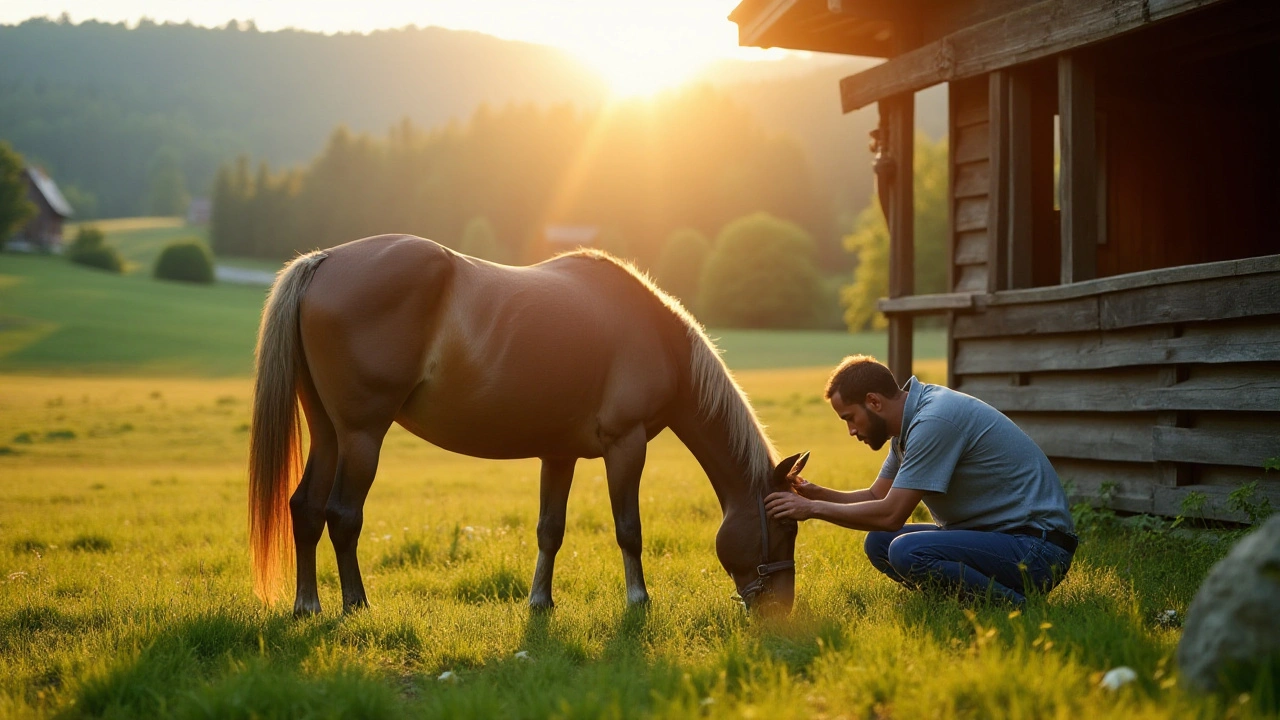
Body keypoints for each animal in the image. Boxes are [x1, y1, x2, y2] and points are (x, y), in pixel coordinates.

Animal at [248, 233, 803, 614]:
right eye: (783, 527)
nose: (780, 608)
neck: (656, 335)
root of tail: (324, 261)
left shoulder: (559, 453)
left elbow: (549, 530)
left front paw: (540, 602)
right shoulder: (626, 445)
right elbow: (629, 528)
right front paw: (638, 599)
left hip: (328, 433)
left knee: (306, 507)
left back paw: (307, 605)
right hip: (362, 436)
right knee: (343, 514)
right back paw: (356, 604)